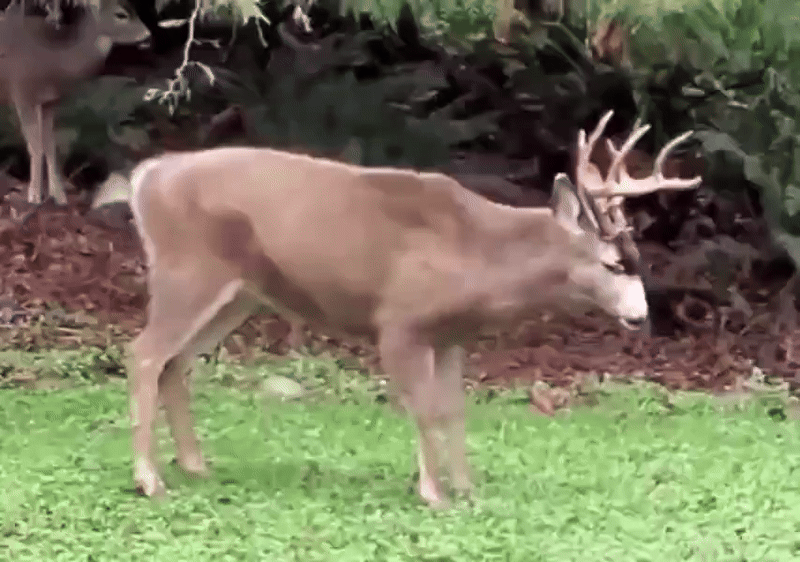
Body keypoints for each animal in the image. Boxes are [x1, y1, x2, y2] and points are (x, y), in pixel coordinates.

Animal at [0, 0, 150, 206]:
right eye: (121, 14)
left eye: (134, 8)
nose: (148, 35)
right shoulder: (23, 94)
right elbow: (35, 145)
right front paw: (35, 196)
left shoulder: (50, 102)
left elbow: (49, 145)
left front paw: (59, 195)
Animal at [120, 110, 702, 508]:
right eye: (612, 263)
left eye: (637, 261)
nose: (639, 316)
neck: (480, 254)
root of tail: (146, 175)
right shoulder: (399, 322)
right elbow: (422, 407)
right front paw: (434, 493)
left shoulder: (451, 334)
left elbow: (454, 409)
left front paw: (467, 487)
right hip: (186, 267)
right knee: (143, 354)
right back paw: (150, 480)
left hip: (238, 292)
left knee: (176, 362)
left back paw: (196, 467)